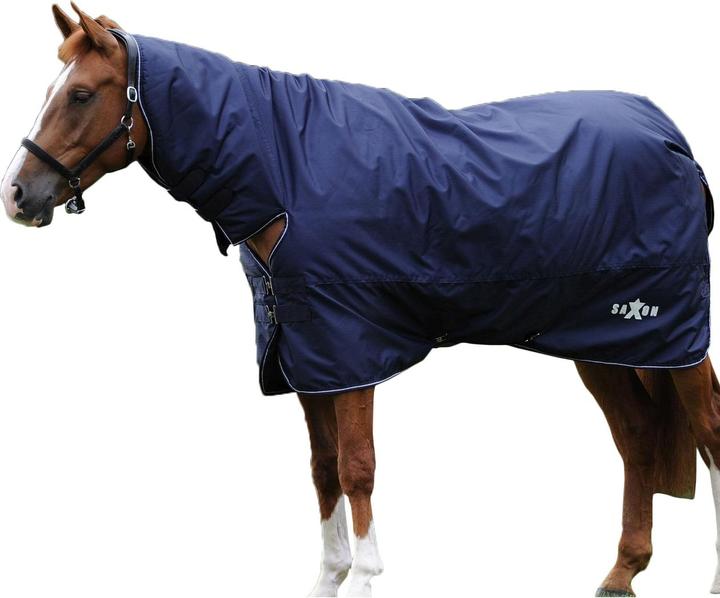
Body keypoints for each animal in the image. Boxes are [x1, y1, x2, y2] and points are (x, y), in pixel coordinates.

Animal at [1, 5, 718, 597]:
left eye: (81, 94)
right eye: (49, 91)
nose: (17, 196)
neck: (287, 173)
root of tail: (670, 133)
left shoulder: (352, 351)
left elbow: (358, 469)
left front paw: (366, 576)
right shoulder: (306, 356)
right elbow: (323, 472)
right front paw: (330, 576)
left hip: (673, 336)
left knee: (708, 432)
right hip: (601, 342)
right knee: (637, 436)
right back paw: (622, 572)